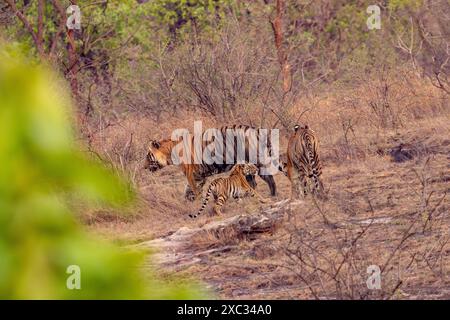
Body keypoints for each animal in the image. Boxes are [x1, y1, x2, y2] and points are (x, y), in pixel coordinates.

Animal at [144, 124, 278, 200]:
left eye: (148, 156)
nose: (144, 167)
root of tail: (254, 129)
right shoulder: (198, 176)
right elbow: (189, 190)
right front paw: (190, 201)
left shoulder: (191, 174)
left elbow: (193, 189)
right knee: (252, 183)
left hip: (255, 161)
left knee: (268, 178)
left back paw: (273, 195)